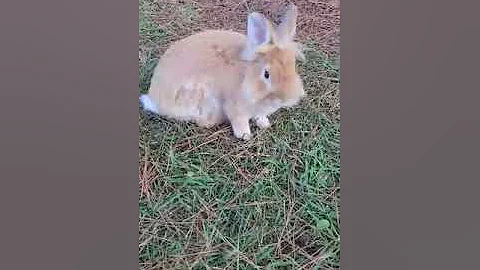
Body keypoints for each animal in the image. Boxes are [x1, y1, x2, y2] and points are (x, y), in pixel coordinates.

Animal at [139, 3, 304, 140]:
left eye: (293, 67)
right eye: (266, 74)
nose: (287, 98)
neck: (246, 77)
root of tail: (154, 99)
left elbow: (260, 116)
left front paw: (264, 124)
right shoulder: (235, 107)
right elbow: (239, 121)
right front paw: (245, 135)